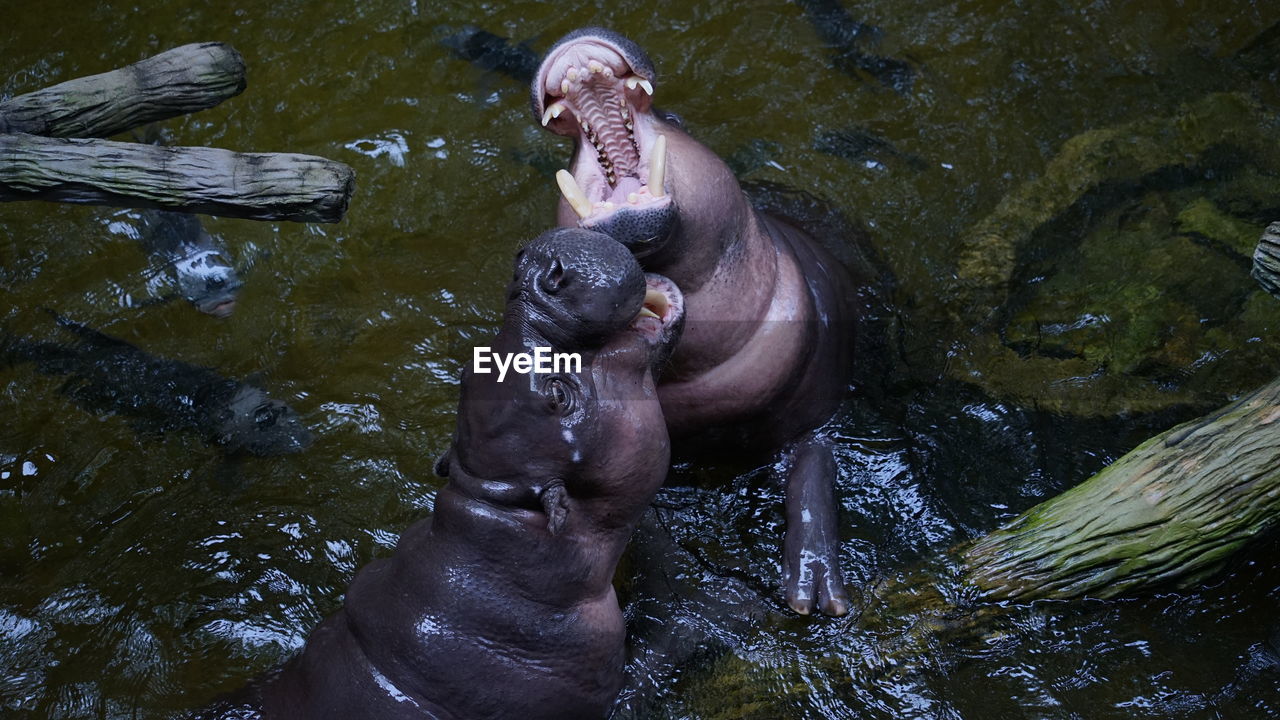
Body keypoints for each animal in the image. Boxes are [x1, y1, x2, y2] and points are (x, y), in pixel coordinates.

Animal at [529, 29, 860, 617]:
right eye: (568, 152)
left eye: (676, 118)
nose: (572, 36)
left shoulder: (819, 405)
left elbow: (814, 467)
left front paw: (816, 595)